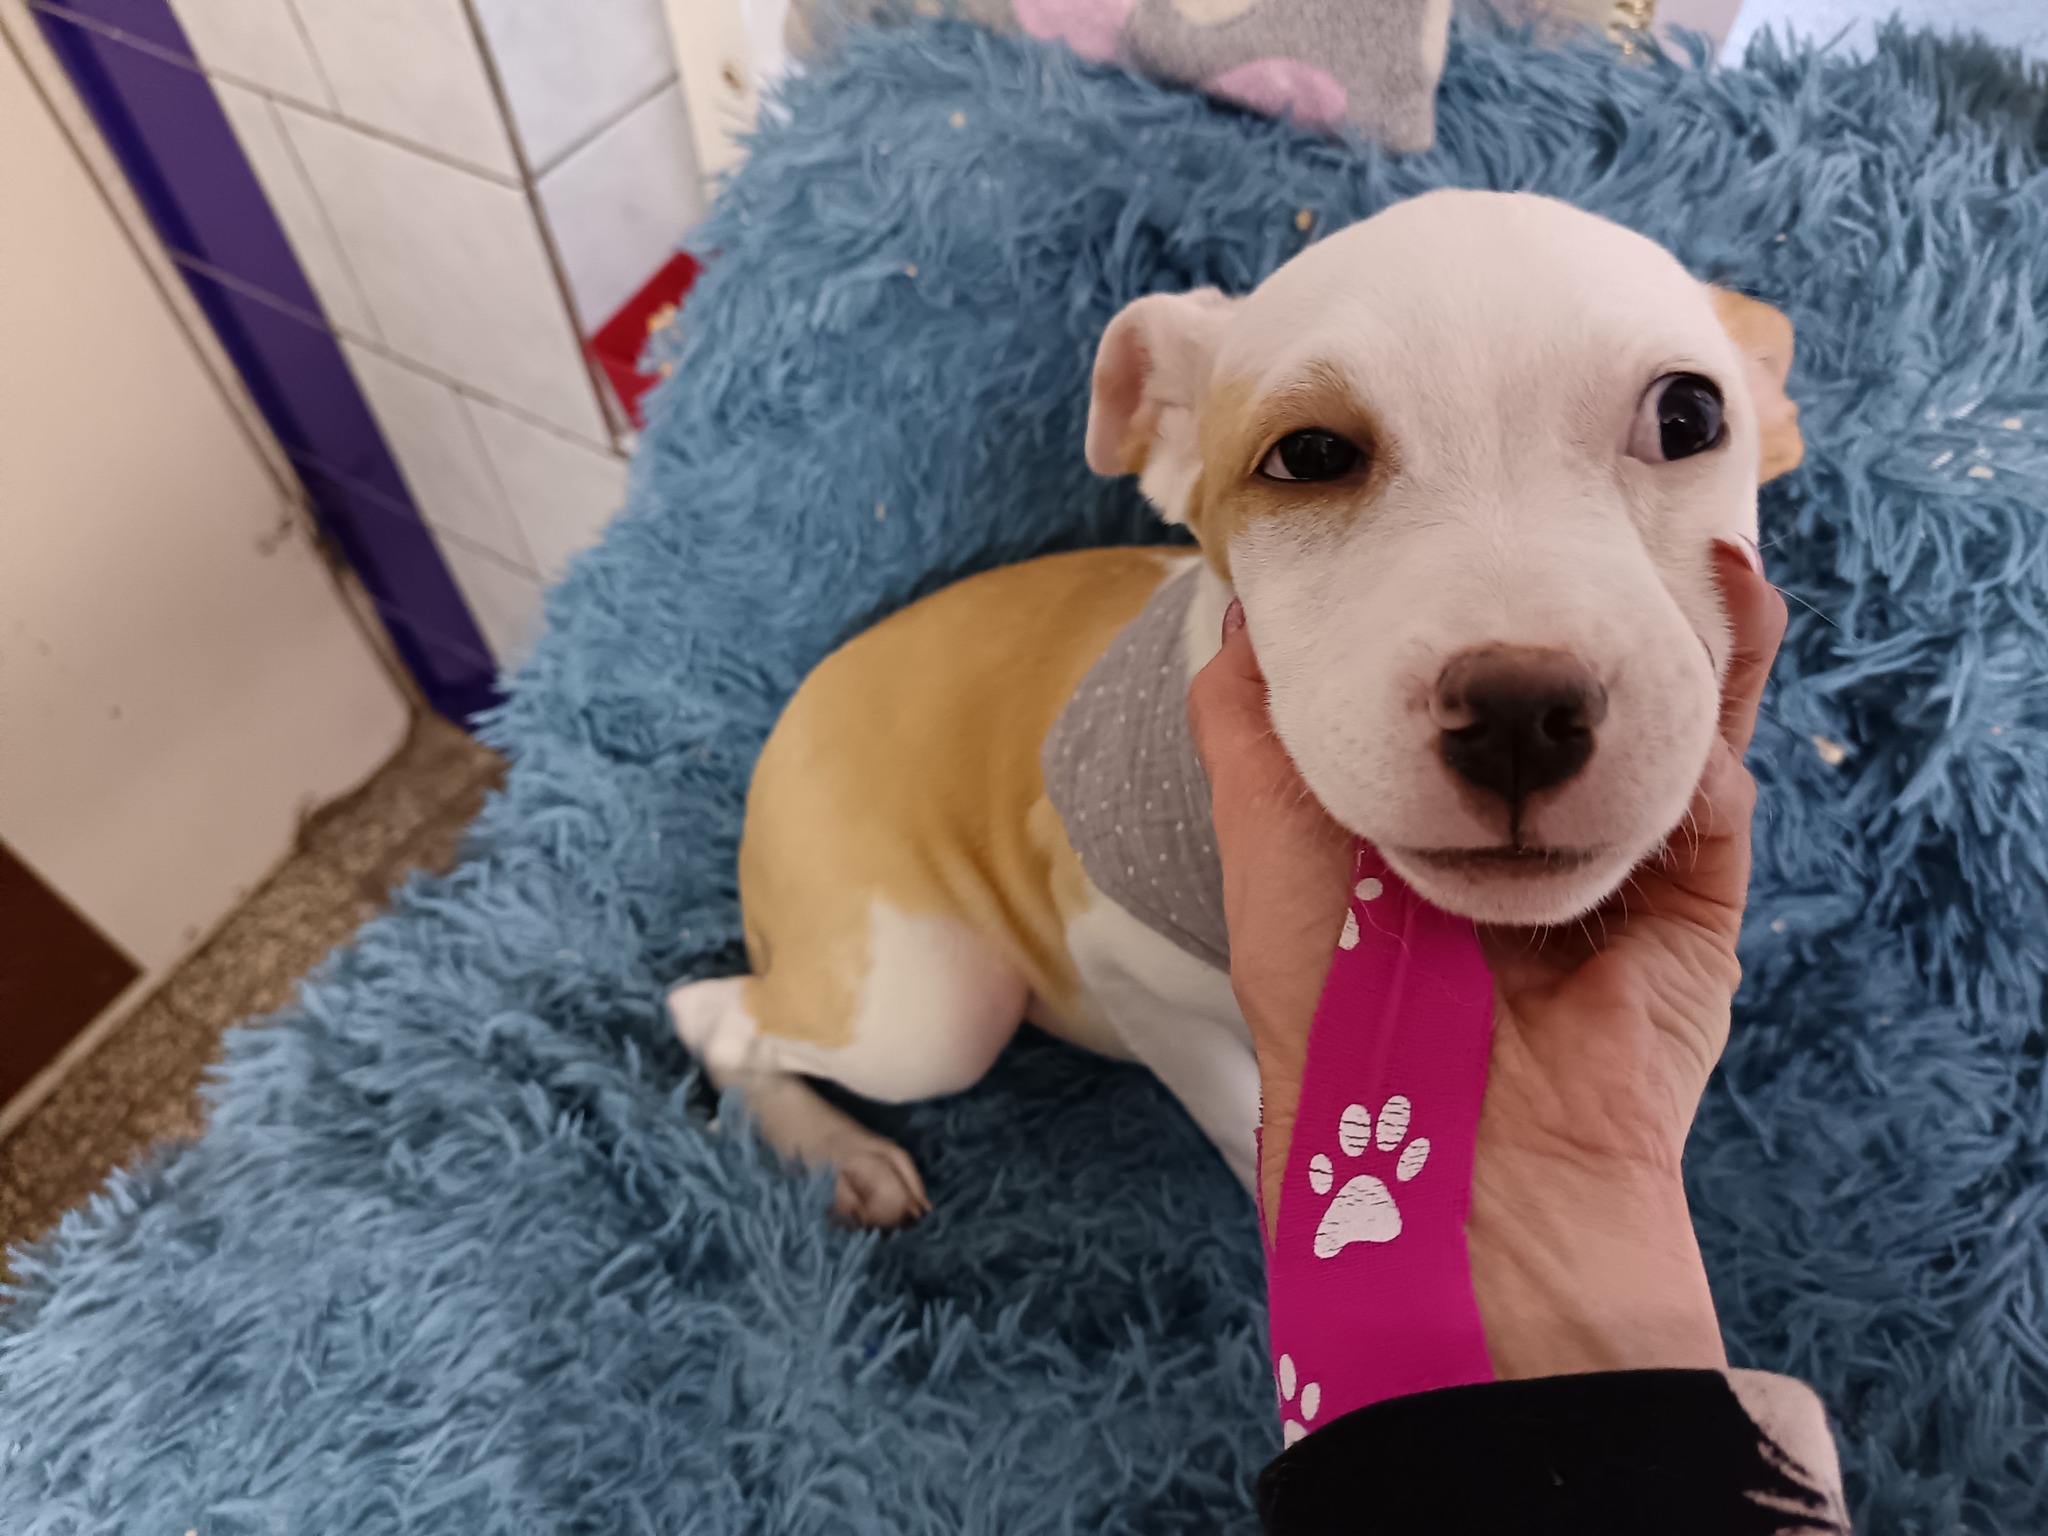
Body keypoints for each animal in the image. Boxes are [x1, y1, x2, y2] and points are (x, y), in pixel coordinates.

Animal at [670, 190, 1803, 1226]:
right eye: (1308, 456)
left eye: (1688, 418)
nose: (1519, 715)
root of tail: (799, 706)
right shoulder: (1117, 962)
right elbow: (1237, 1101)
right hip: (925, 1005)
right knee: (716, 1017)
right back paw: (836, 1152)